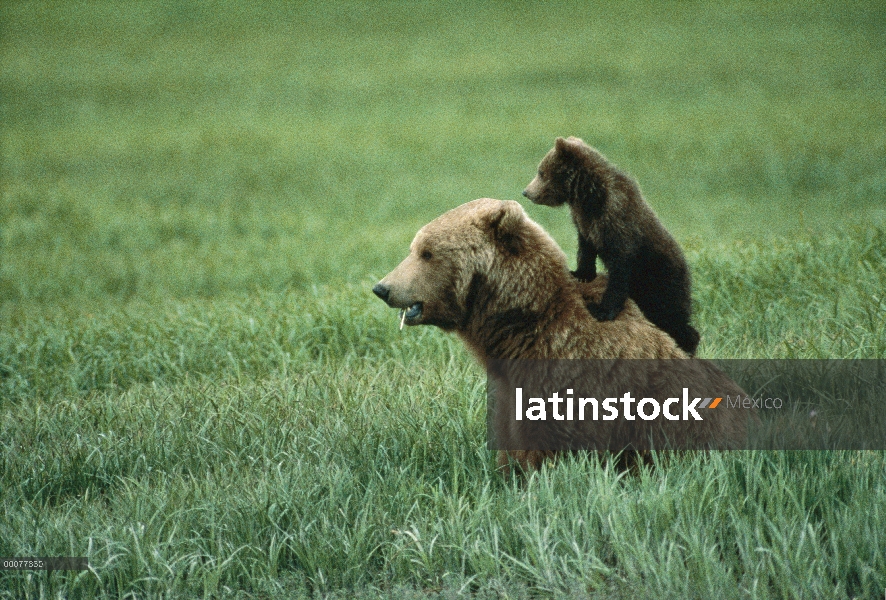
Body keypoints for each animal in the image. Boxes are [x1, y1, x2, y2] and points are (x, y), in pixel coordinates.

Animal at [528, 137, 700, 356]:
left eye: (541, 172)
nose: (527, 192)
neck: (588, 197)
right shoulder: (585, 222)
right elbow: (586, 249)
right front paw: (580, 273)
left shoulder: (617, 220)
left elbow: (620, 270)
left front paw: (601, 310)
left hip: (660, 281)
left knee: (671, 316)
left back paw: (688, 343)